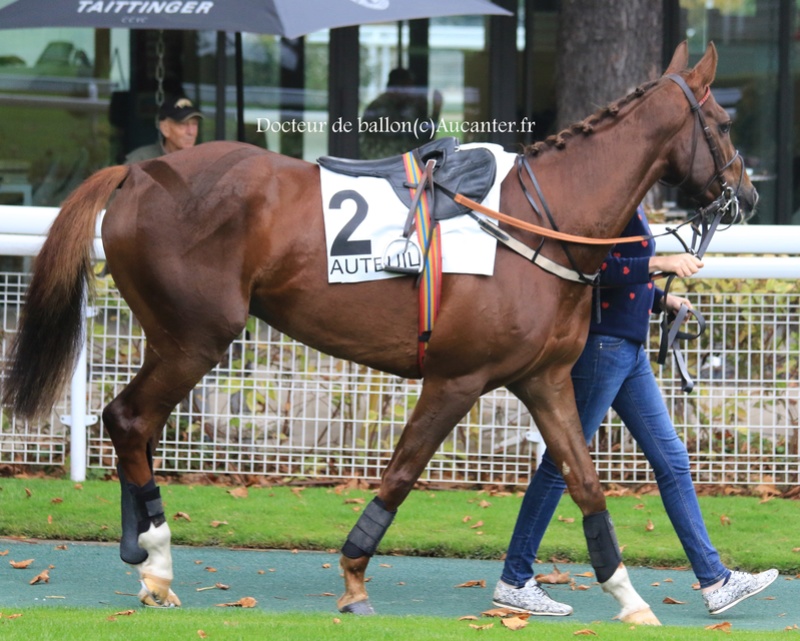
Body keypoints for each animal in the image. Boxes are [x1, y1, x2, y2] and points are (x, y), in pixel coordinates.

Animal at [3, 41, 756, 620]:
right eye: (722, 121)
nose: (746, 194)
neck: (540, 221)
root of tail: (138, 172)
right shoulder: (456, 379)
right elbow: (401, 473)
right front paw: (354, 574)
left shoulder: (543, 380)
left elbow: (584, 481)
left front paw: (630, 597)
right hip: (196, 338)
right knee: (129, 418)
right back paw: (157, 561)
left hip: (177, 339)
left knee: (130, 422)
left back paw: (139, 549)